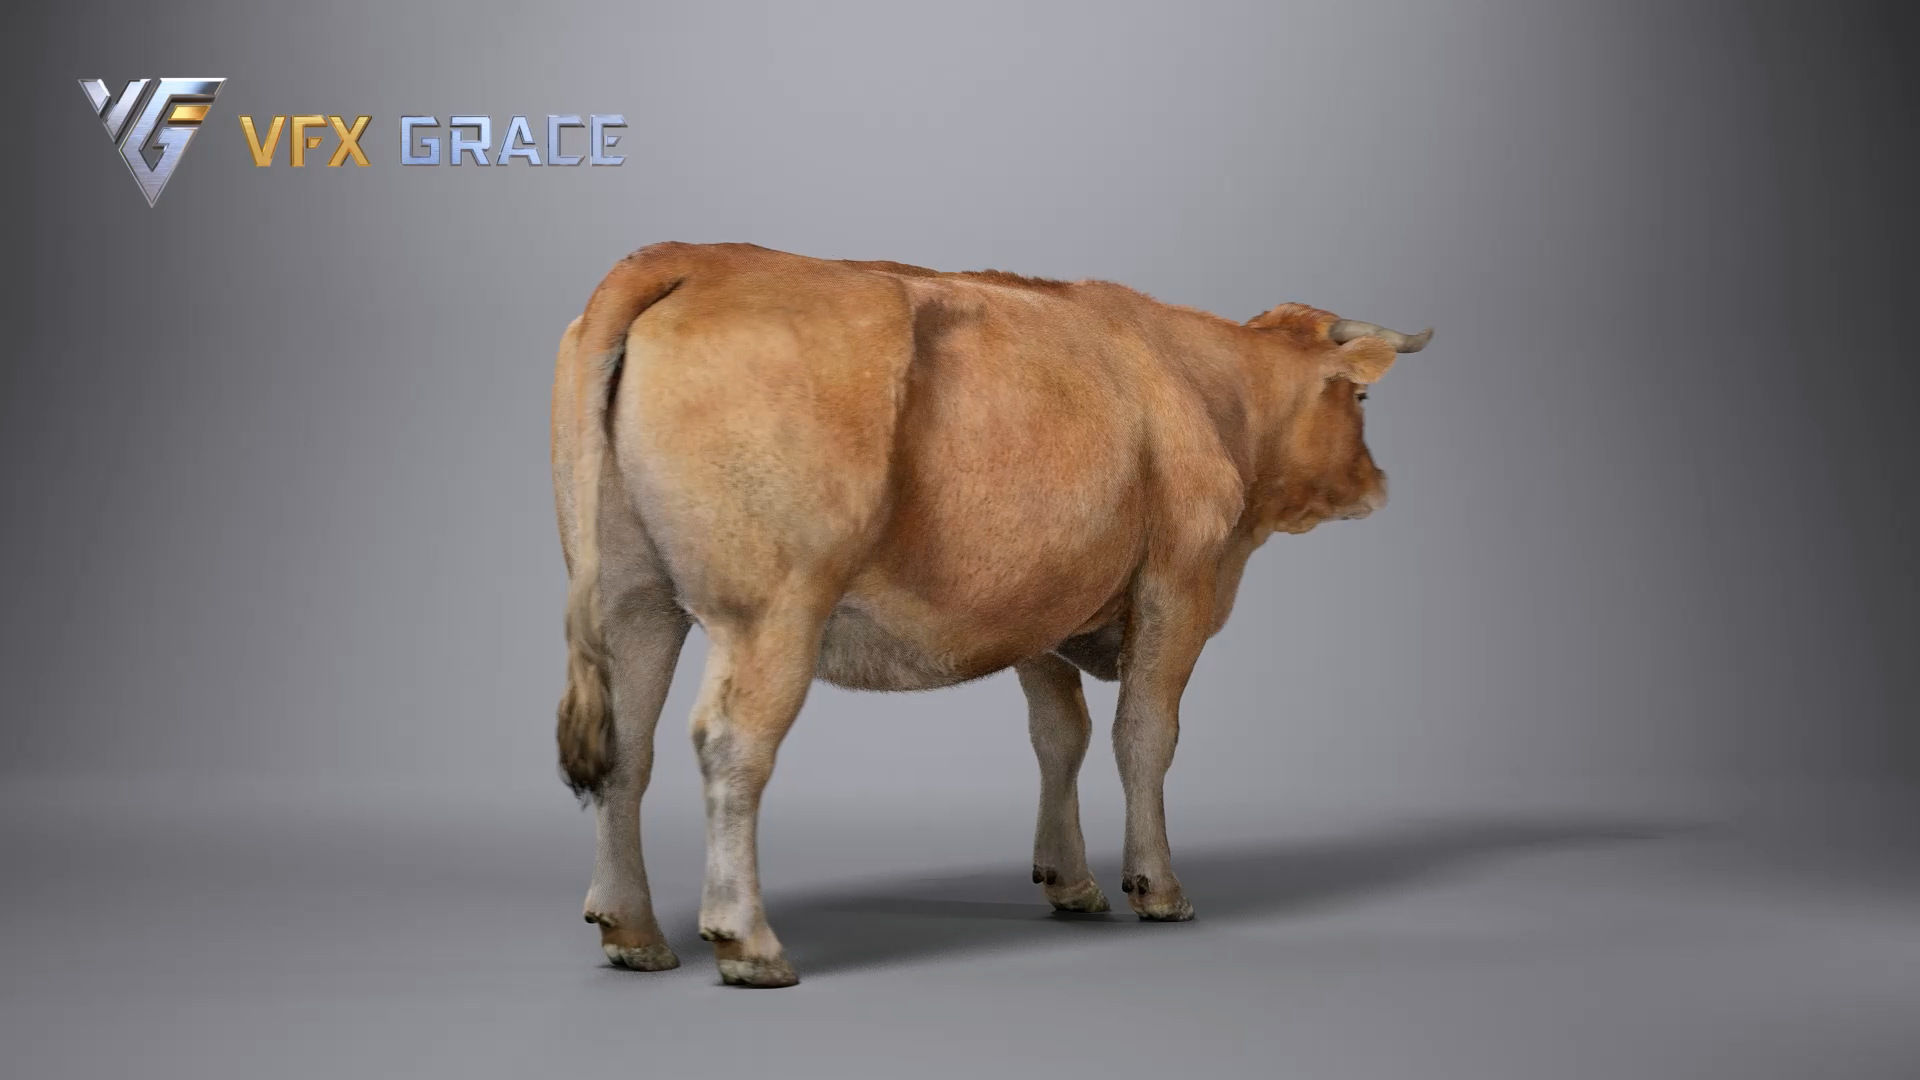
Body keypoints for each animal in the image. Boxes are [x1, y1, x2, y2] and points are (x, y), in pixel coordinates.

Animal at [550, 242, 1430, 987]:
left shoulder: (1037, 603)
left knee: (627, 750)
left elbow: (1059, 735)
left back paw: (632, 933)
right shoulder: (1178, 583)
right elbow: (1145, 736)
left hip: (633, 600)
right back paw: (748, 942)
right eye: (1358, 394)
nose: (1379, 483)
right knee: (732, 745)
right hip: (770, 610)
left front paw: (1068, 880)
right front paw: (1156, 886)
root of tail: (692, 255)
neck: (1206, 387)